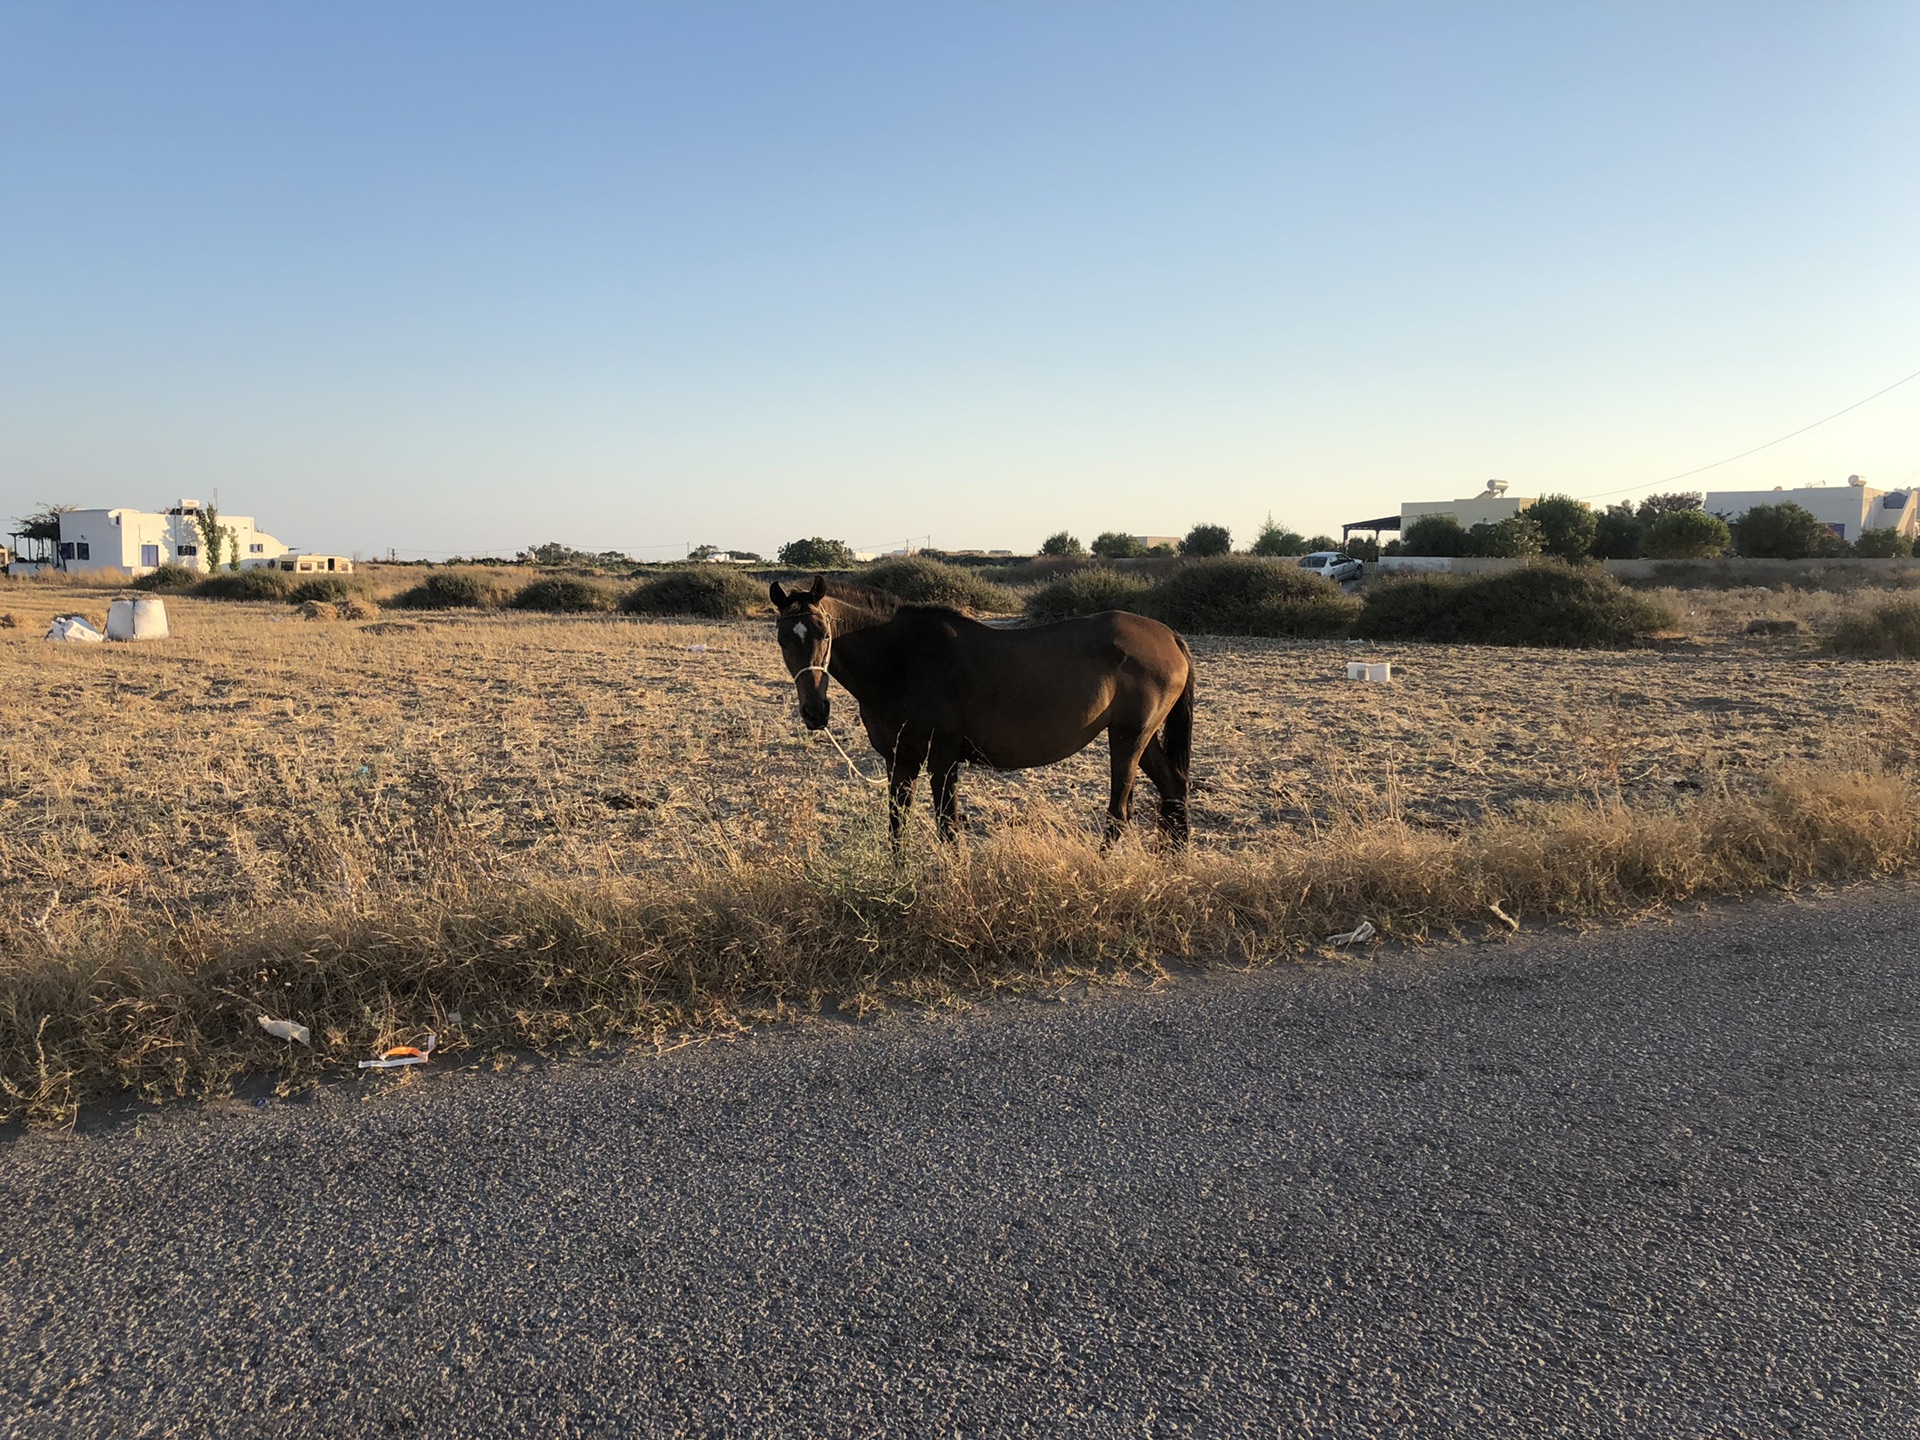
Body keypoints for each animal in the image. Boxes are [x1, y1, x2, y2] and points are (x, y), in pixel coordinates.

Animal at [768, 576, 1190, 844]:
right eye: (782, 639)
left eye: (825, 633)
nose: (815, 712)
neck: (901, 658)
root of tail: (1169, 635)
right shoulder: (899, 758)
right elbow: (897, 826)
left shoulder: (942, 758)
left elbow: (947, 827)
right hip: (1140, 739)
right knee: (1173, 788)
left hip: (1128, 738)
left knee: (1119, 813)